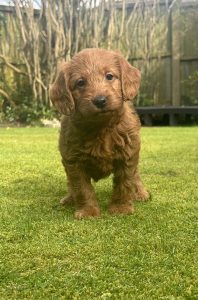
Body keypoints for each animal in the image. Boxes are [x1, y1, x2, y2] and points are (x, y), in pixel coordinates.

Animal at [49, 48, 148, 219]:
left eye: (109, 76)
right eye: (80, 82)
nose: (100, 100)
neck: (101, 127)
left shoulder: (127, 155)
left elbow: (124, 183)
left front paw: (121, 208)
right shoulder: (73, 160)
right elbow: (81, 188)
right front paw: (88, 211)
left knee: (136, 175)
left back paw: (140, 193)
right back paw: (69, 198)